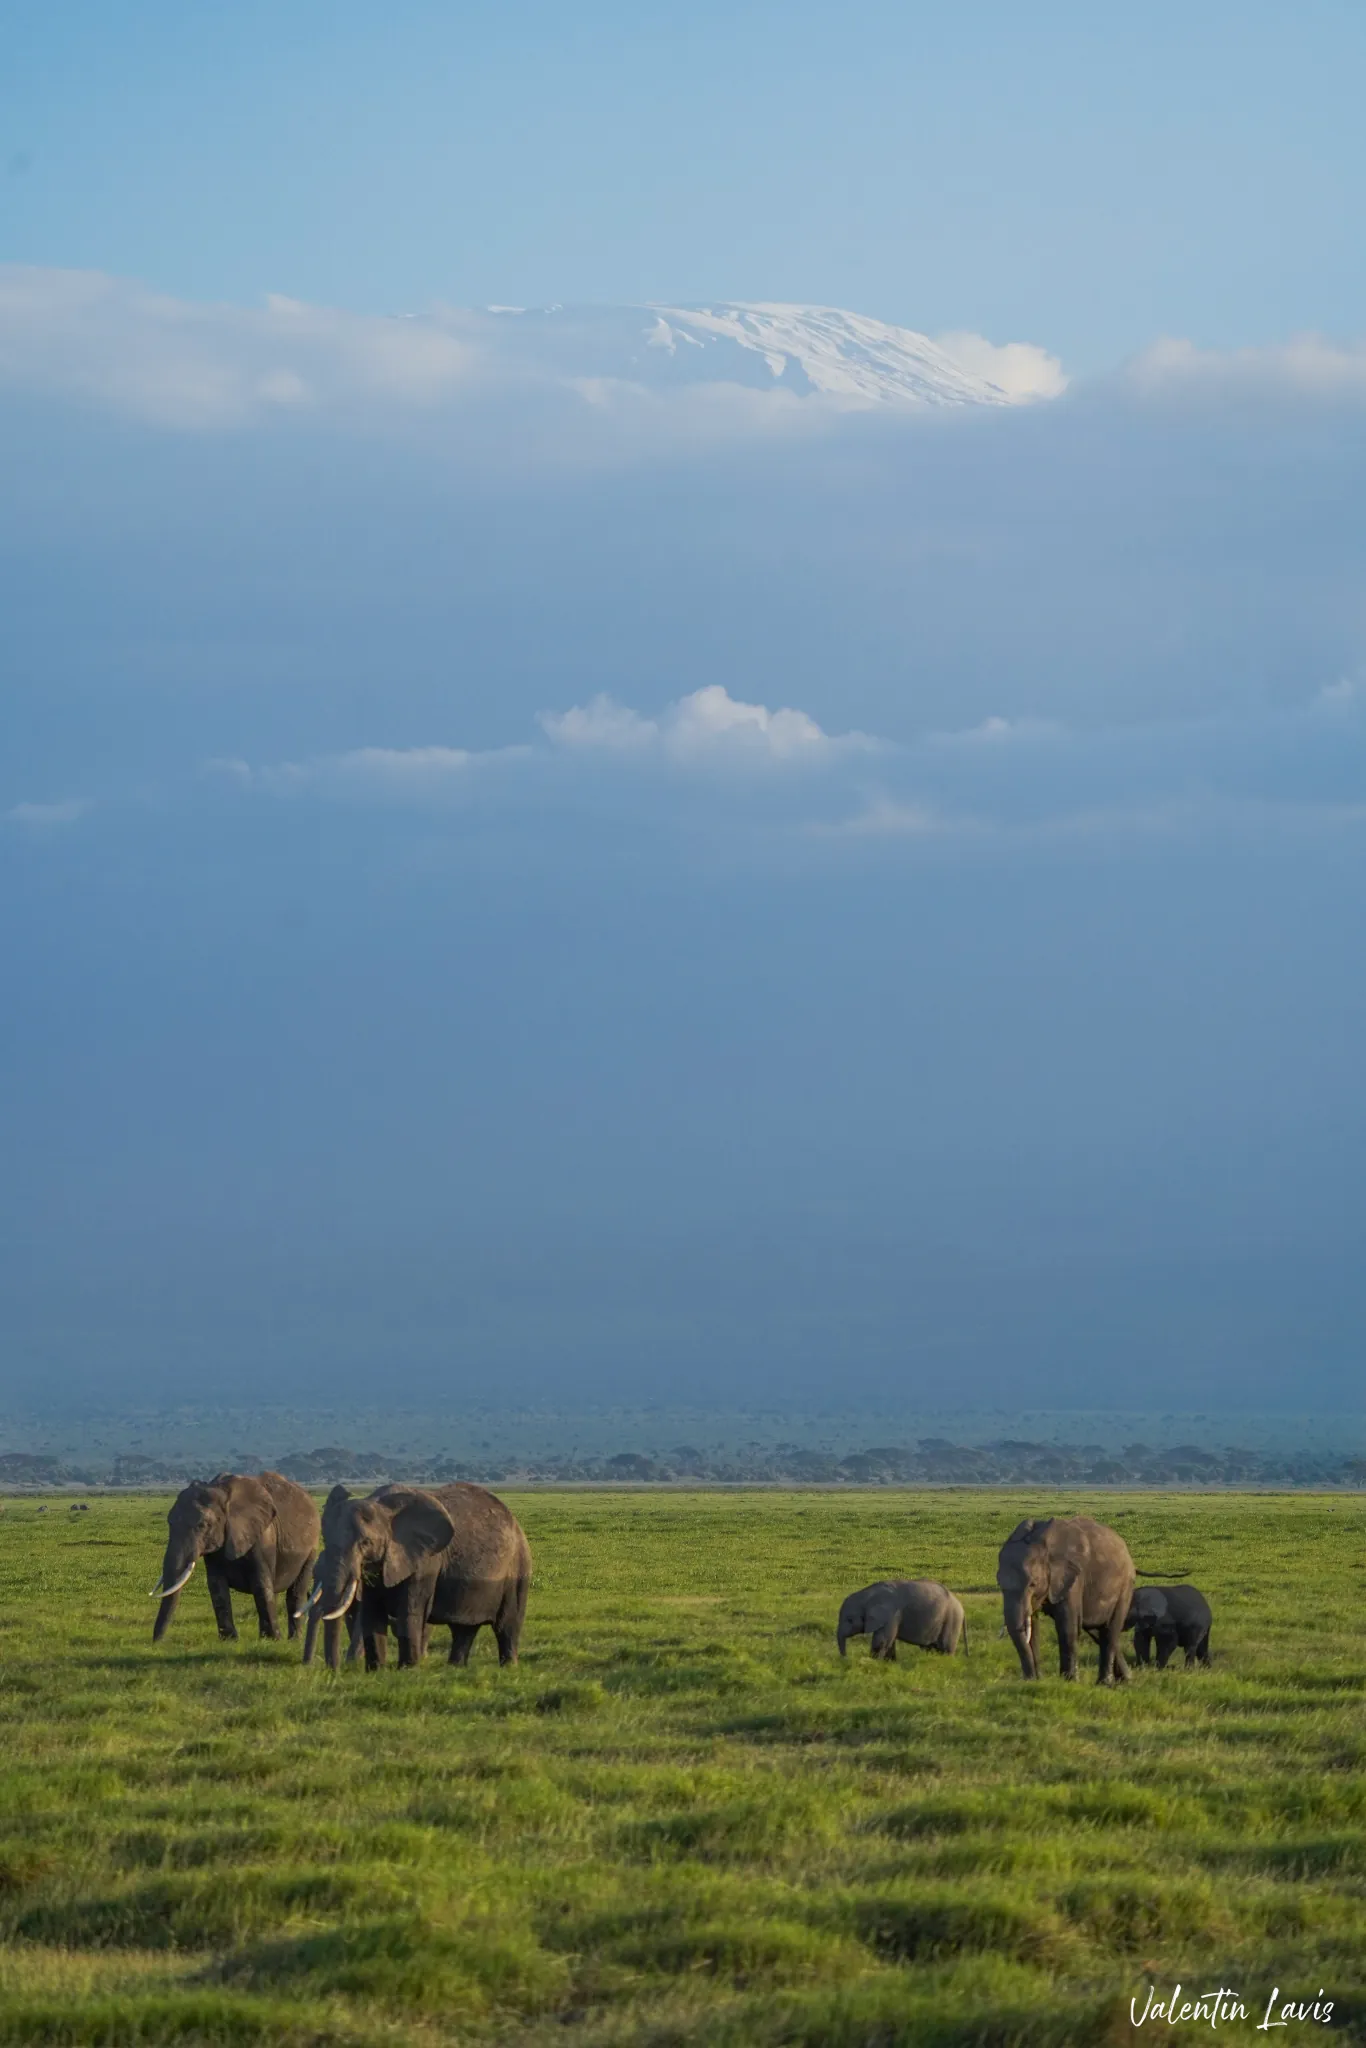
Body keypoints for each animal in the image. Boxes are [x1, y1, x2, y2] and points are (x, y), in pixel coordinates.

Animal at [151, 1471, 320, 1644]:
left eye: (202, 1525)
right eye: (170, 1523)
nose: (157, 1642)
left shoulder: (262, 1536)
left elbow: (261, 1584)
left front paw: (272, 1640)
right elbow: (216, 1586)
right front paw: (229, 1640)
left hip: (312, 1547)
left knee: (296, 1591)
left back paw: (294, 1640)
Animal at [303, 1480, 531, 1673]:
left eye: (366, 1543)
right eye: (325, 1538)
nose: (333, 1671)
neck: (382, 1507)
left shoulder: (424, 1562)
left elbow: (409, 1612)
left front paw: (407, 1670)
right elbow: (371, 1613)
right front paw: (376, 1671)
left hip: (518, 1569)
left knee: (507, 1625)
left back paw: (508, 1668)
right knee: (463, 1629)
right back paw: (455, 1668)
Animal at [837, 1579, 967, 1660]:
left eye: (849, 1619)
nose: (846, 1659)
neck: (867, 1594)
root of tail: (961, 1606)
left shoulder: (893, 1614)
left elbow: (882, 1640)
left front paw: (874, 1662)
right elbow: (889, 1641)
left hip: (952, 1620)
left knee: (946, 1648)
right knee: (929, 1647)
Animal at [997, 1515, 1136, 1685]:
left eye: (1032, 1584)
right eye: (1000, 1584)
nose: (1030, 1678)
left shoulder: (1073, 1578)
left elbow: (1067, 1626)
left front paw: (1069, 1681)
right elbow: (1033, 1628)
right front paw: (1035, 1681)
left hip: (1125, 1587)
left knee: (1110, 1630)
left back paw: (1105, 1683)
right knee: (1097, 1631)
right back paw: (1125, 1679)